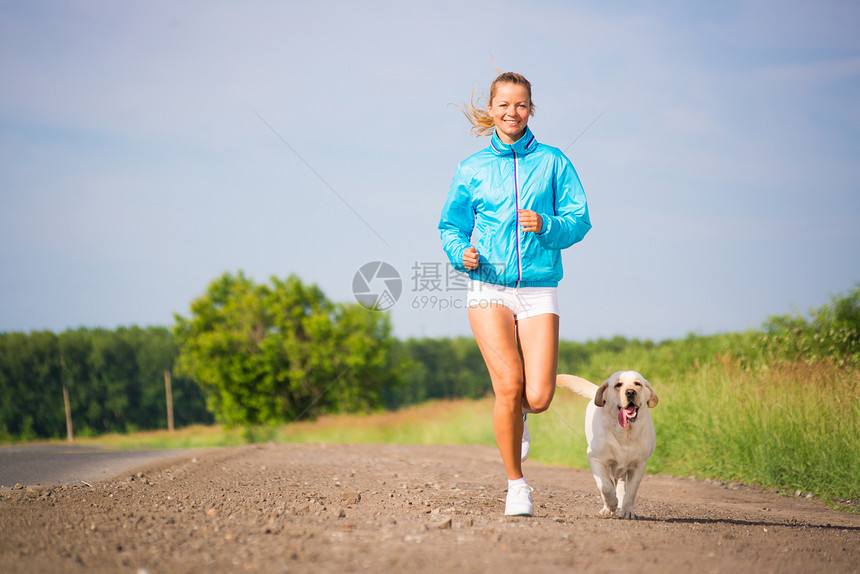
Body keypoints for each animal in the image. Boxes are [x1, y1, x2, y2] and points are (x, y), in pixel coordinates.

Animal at [556, 374, 660, 520]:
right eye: (618, 385)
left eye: (637, 384)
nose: (630, 392)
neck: (624, 432)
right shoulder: (595, 458)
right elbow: (604, 486)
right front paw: (610, 505)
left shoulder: (639, 464)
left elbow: (631, 491)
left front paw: (627, 511)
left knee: (621, 483)